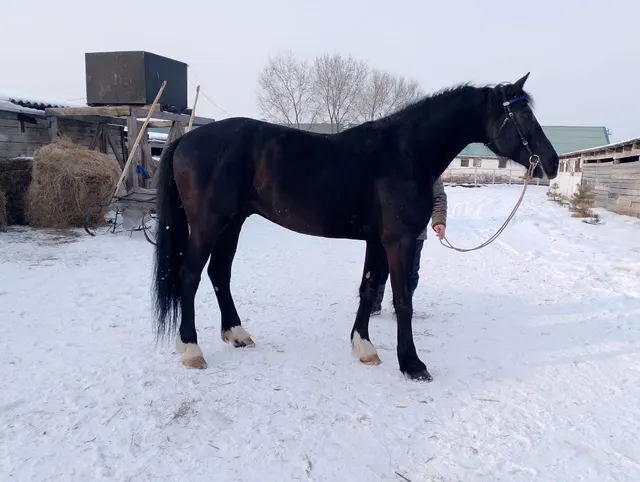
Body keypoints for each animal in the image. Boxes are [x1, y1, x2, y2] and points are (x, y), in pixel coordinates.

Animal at [152, 72, 559, 382]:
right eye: (521, 116)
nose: (551, 163)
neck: (405, 154)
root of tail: (185, 139)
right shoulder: (398, 241)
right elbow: (403, 300)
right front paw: (413, 365)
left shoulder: (377, 241)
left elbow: (368, 290)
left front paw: (364, 348)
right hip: (209, 223)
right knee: (190, 276)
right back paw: (191, 349)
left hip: (233, 223)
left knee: (219, 274)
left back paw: (237, 335)